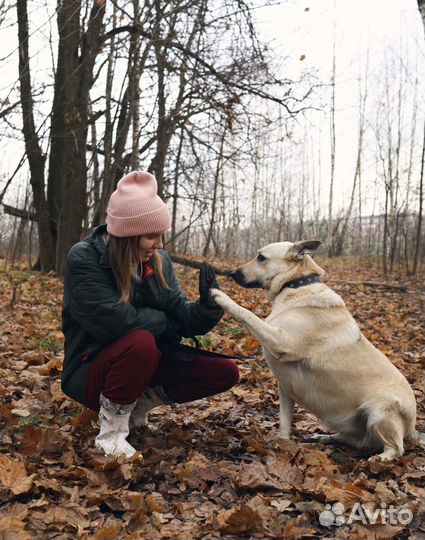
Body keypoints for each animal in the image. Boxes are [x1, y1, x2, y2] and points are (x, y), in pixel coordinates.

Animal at [212, 240, 420, 460]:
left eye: (261, 258)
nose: (232, 273)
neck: (296, 285)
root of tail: (412, 430)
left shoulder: (281, 341)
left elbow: (247, 314)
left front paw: (221, 297)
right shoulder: (285, 389)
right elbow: (284, 423)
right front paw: (283, 446)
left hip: (380, 412)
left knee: (395, 448)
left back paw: (380, 458)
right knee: (358, 441)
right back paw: (325, 438)